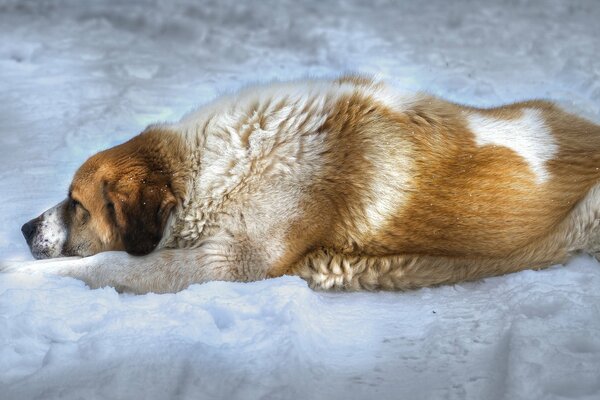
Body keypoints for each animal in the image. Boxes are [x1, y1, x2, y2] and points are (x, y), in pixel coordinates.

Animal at [14, 76, 600, 294]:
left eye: (76, 204)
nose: (21, 228)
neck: (216, 167)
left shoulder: (228, 263)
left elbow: (108, 264)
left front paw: (19, 273)